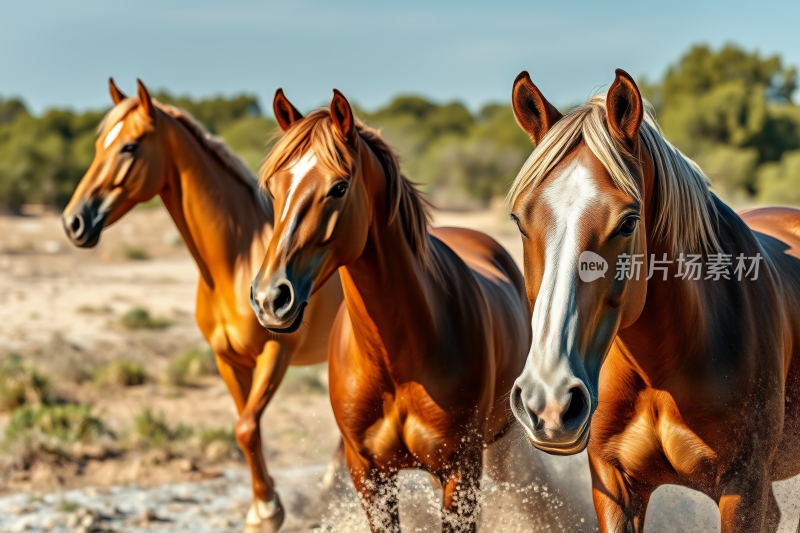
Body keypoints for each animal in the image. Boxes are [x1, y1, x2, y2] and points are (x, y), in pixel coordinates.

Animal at [62, 79, 344, 532]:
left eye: (129, 147)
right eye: (98, 145)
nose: (73, 222)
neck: (236, 261)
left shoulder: (276, 353)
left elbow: (246, 427)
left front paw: (268, 511)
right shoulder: (227, 359)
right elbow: (246, 429)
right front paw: (262, 507)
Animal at [250, 89, 532, 528]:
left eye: (339, 187)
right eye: (275, 190)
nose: (269, 298)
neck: (394, 360)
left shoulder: (461, 473)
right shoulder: (368, 474)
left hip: (500, 445)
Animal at [506, 67, 800, 532]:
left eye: (629, 222)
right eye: (519, 219)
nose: (548, 401)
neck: (659, 371)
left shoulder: (746, 491)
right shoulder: (614, 485)